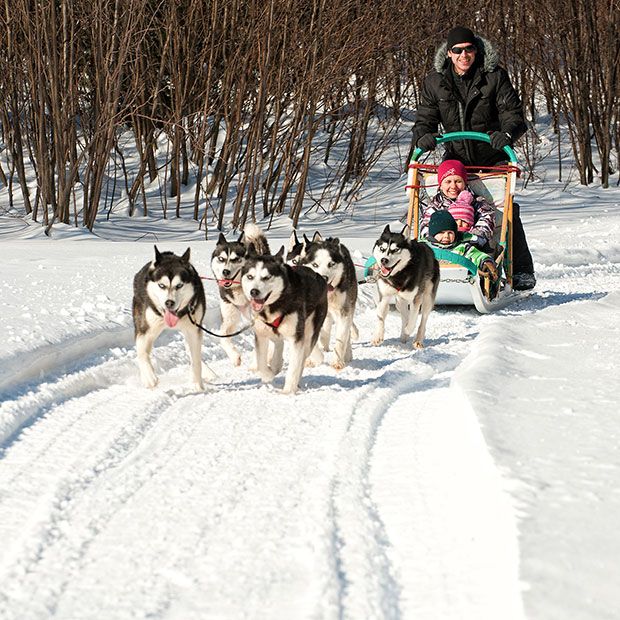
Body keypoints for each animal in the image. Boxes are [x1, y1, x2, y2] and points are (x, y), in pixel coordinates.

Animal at [132, 246, 213, 390]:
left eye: (179, 285)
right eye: (161, 285)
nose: (169, 303)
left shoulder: (194, 330)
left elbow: (196, 360)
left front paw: (197, 384)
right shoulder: (145, 330)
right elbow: (142, 353)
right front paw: (149, 377)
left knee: (192, 351)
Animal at [210, 223, 270, 365]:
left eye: (236, 259)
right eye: (221, 259)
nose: (225, 271)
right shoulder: (230, 318)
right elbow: (223, 337)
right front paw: (234, 356)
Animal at [241, 247, 328, 394]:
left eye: (266, 277)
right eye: (250, 276)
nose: (254, 291)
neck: (275, 305)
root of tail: (319, 276)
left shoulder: (296, 339)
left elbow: (294, 367)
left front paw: (288, 391)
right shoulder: (261, 334)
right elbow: (261, 363)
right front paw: (268, 375)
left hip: (310, 334)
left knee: (302, 357)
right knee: (278, 342)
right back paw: (276, 364)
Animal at [301, 232, 359, 369]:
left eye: (331, 264)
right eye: (315, 265)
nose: (324, 278)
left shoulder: (344, 312)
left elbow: (341, 338)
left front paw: (337, 361)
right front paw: (313, 358)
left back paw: (347, 354)